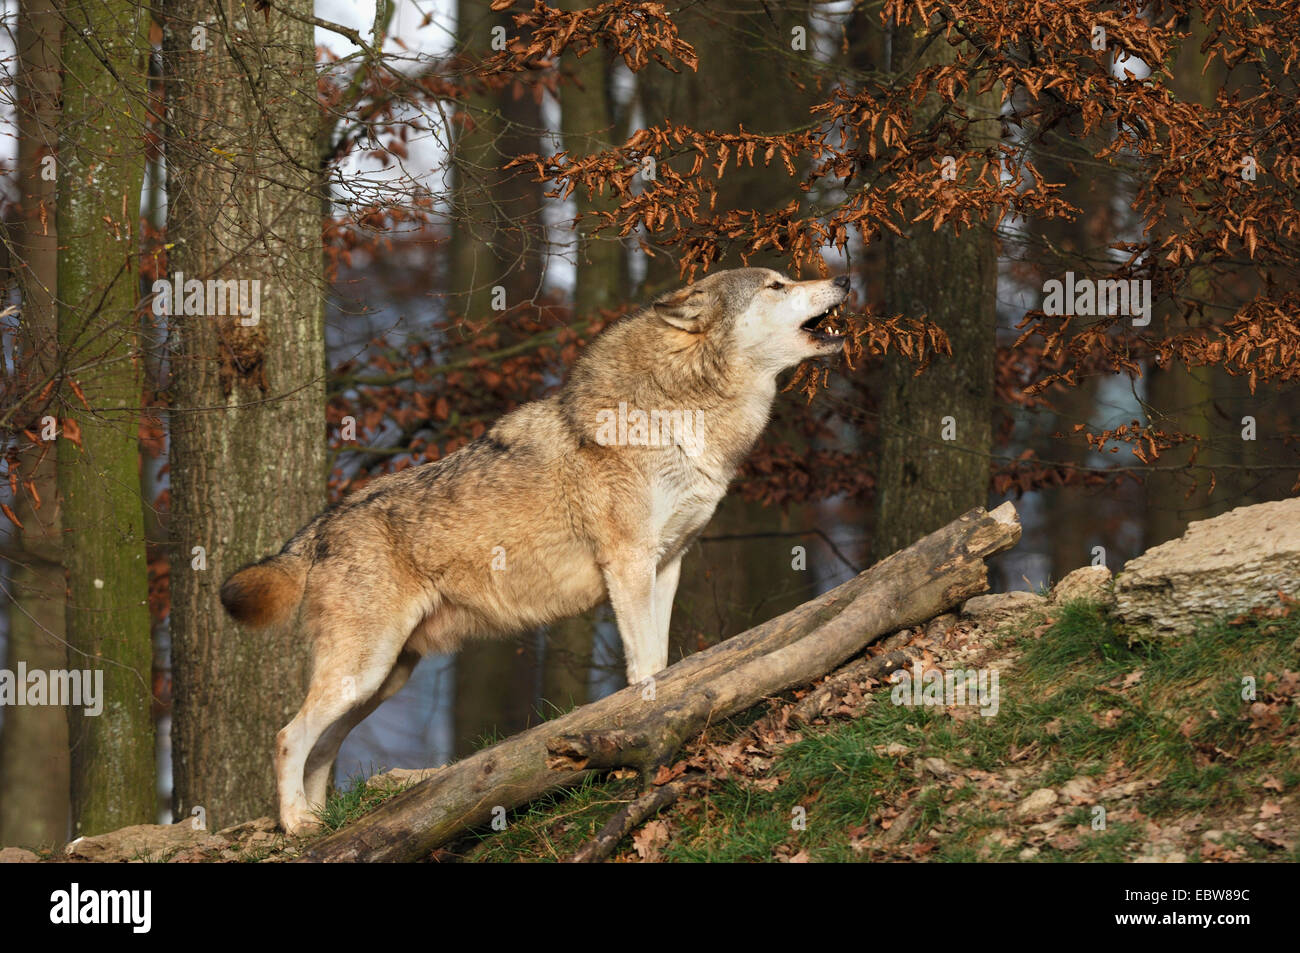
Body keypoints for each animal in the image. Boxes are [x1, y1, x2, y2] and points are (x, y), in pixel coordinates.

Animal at [220, 267, 852, 832]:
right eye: (777, 285)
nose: (843, 280)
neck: (682, 416)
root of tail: (319, 526)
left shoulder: (669, 562)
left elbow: (664, 658)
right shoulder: (628, 562)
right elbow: (646, 664)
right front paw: (646, 722)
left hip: (382, 680)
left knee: (323, 747)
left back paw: (321, 821)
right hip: (364, 669)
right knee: (288, 736)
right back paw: (297, 825)